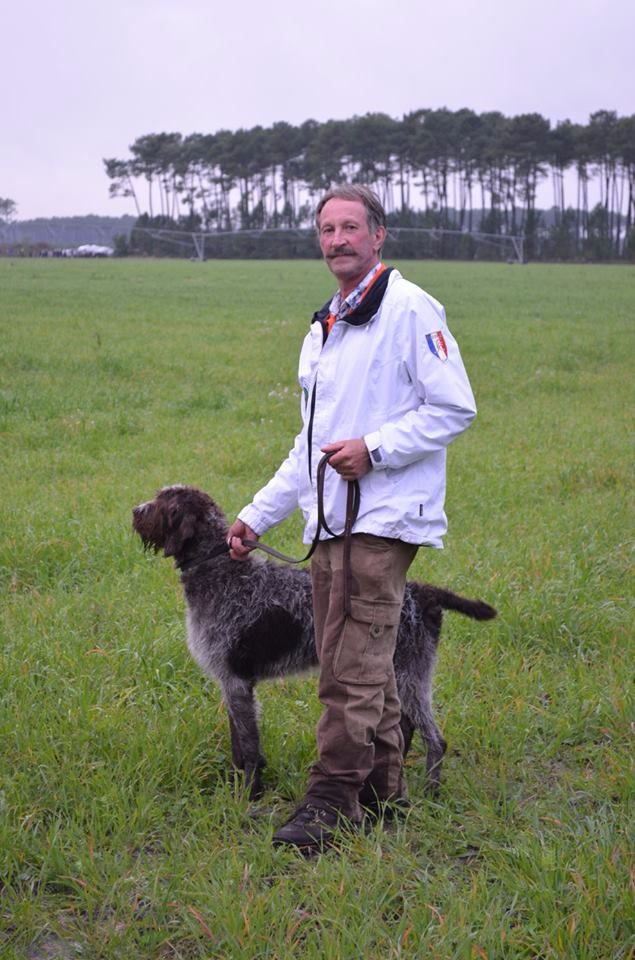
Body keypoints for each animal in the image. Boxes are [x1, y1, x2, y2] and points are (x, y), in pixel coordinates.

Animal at [133, 484, 496, 800]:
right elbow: (238, 740)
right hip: (395, 671)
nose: (136, 510)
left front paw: (249, 793)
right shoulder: (231, 681)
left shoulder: (236, 680)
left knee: (435, 738)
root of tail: (424, 593)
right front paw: (237, 782)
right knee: (405, 726)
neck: (218, 568)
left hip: (410, 674)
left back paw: (430, 792)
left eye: (168, 505)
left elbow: (249, 745)